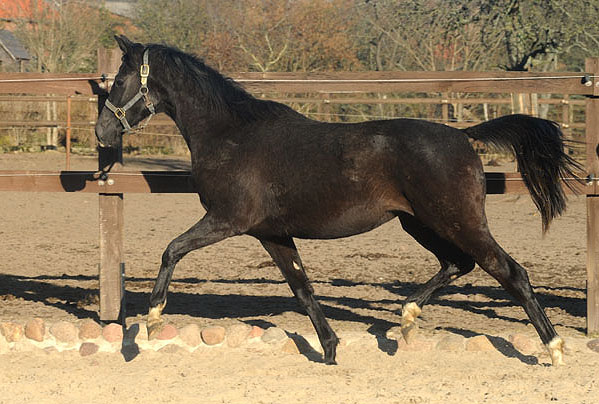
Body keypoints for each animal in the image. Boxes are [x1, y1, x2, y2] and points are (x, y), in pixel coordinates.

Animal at [95, 36, 580, 368]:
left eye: (118, 80)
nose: (102, 132)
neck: (231, 134)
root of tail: (463, 136)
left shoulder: (227, 219)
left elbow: (171, 249)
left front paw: (152, 319)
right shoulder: (272, 234)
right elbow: (302, 287)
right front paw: (330, 350)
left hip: (458, 221)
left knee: (510, 272)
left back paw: (555, 349)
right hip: (419, 223)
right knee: (458, 264)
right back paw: (406, 318)